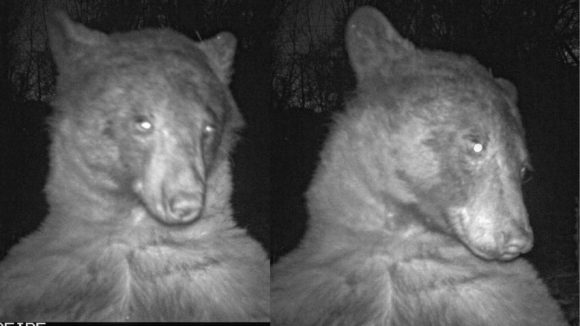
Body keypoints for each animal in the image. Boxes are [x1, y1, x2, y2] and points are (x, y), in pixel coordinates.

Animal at [272, 7, 568, 326]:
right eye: (476, 144)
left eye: (524, 170)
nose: (518, 238)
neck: (403, 239)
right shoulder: (313, 284)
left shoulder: (500, 297)